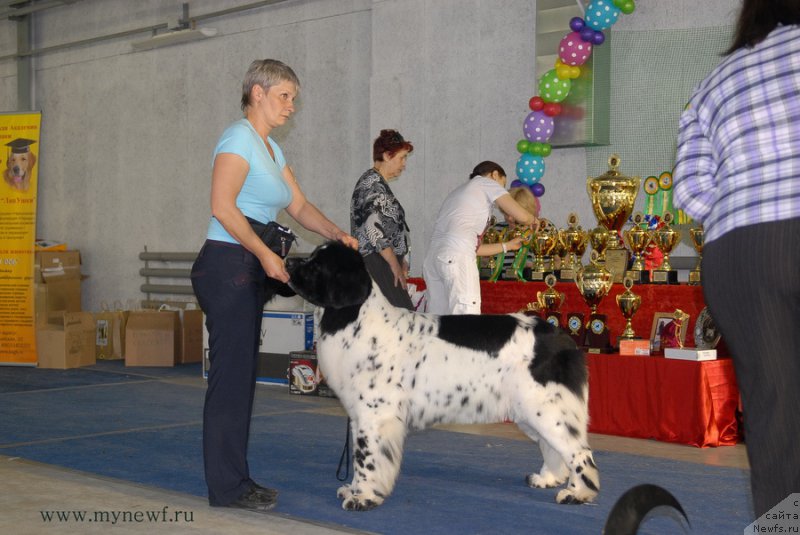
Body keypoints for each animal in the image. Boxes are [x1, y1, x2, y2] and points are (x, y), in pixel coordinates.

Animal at [284, 242, 596, 510]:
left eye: (317, 265)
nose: (287, 261)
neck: (356, 319)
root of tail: (560, 337)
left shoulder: (375, 414)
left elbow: (367, 458)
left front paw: (363, 498)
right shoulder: (360, 415)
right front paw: (354, 489)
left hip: (546, 408)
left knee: (579, 452)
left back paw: (577, 493)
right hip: (530, 412)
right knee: (552, 447)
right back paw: (547, 478)